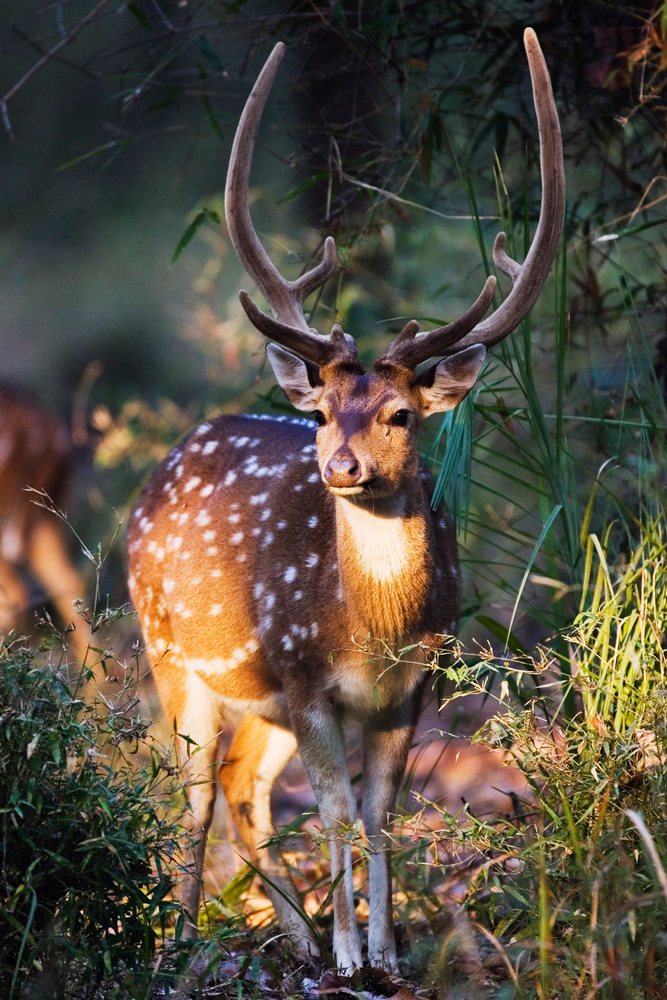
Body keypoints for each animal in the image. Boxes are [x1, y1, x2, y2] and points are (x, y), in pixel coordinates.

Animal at [126, 28, 564, 973]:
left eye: (401, 413)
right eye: (323, 410)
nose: (341, 465)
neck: (371, 629)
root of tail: (161, 469)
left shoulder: (411, 686)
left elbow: (377, 810)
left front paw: (387, 950)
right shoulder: (304, 676)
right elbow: (330, 808)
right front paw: (351, 954)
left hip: (254, 697)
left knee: (243, 791)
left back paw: (283, 934)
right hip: (171, 650)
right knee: (196, 796)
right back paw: (186, 939)